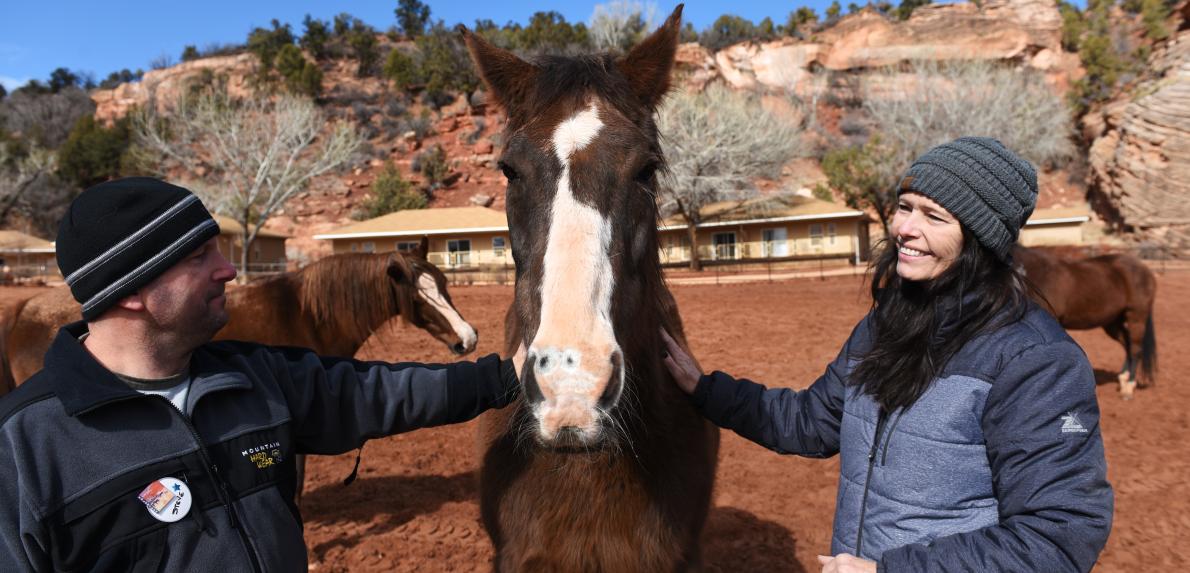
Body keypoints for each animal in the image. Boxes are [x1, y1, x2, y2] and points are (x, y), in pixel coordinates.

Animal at [1015, 246, 1158, 399]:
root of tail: (1144, 268)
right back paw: (1123, 379)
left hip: (1136, 317)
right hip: (1112, 323)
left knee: (1135, 348)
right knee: (1127, 344)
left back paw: (1128, 388)